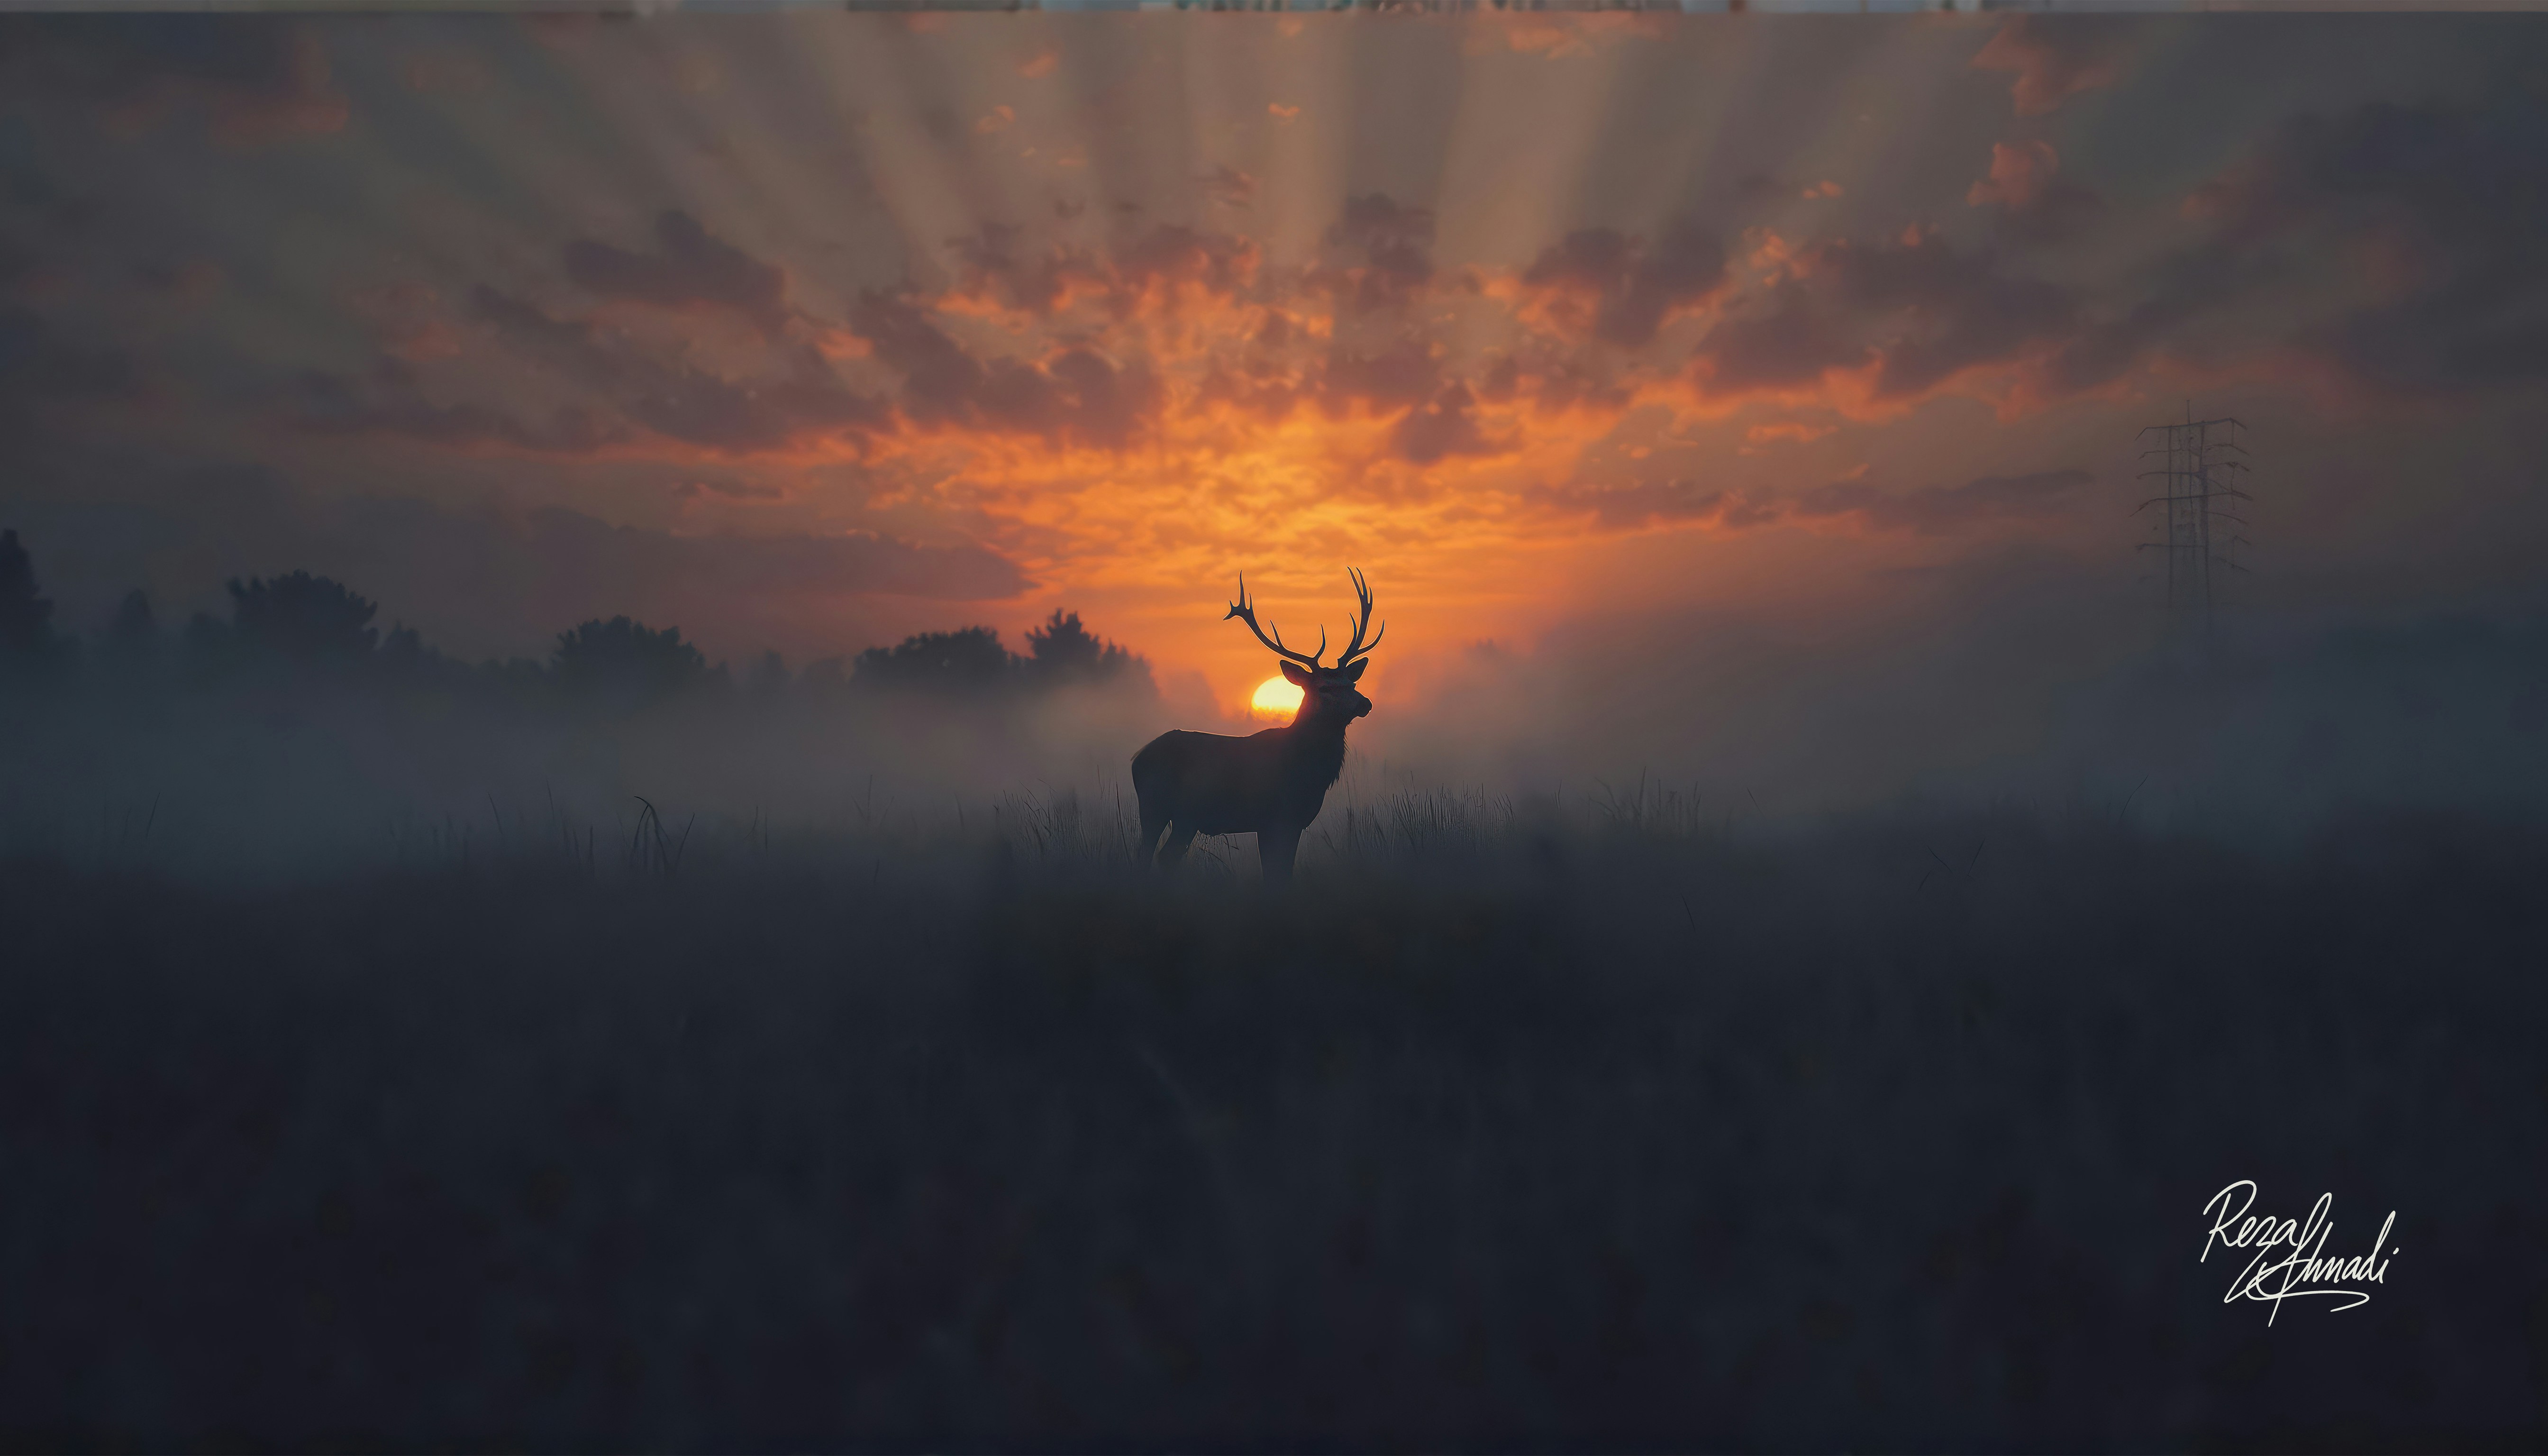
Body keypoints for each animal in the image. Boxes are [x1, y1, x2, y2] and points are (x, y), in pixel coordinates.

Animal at [1130, 569, 1384, 886]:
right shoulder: (1272, 816)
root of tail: (1137, 759)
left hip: (1182, 817)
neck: (1307, 773)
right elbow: (1274, 874)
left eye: (1352, 683)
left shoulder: (1295, 822)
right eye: (1325, 687)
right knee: (1150, 858)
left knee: (1164, 857)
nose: (1365, 704)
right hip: (1158, 807)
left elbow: (1284, 872)